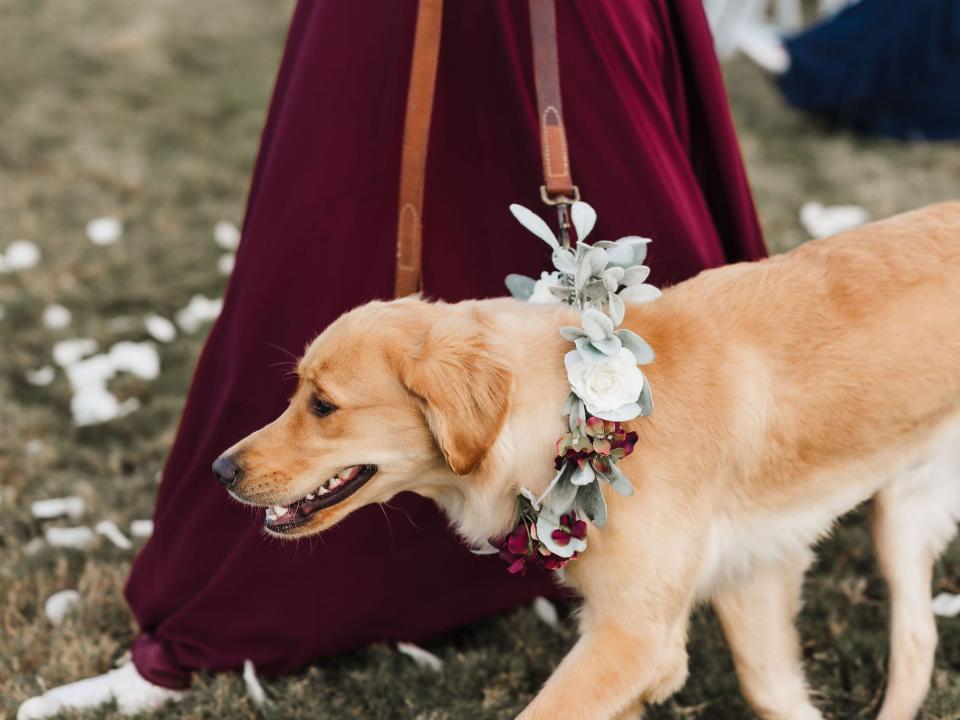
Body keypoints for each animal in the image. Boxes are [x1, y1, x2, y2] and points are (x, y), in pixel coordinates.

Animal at [216, 202, 960, 720]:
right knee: (919, 643)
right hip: (901, 520)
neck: (568, 411)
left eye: (323, 405)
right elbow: (776, 693)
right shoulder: (751, 575)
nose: (221, 471)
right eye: (297, 391)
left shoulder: (634, 635)